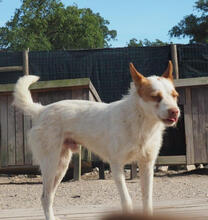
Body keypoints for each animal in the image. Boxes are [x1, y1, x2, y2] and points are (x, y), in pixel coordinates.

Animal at [13, 60, 180, 220]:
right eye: (155, 96)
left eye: (174, 95)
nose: (175, 111)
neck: (140, 121)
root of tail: (42, 110)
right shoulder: (116, 166)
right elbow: (127, 201)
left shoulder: (147, 165)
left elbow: (147, 200)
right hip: (51, 164)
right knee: (45, 197)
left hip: (61, 165)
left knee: (49, 196)